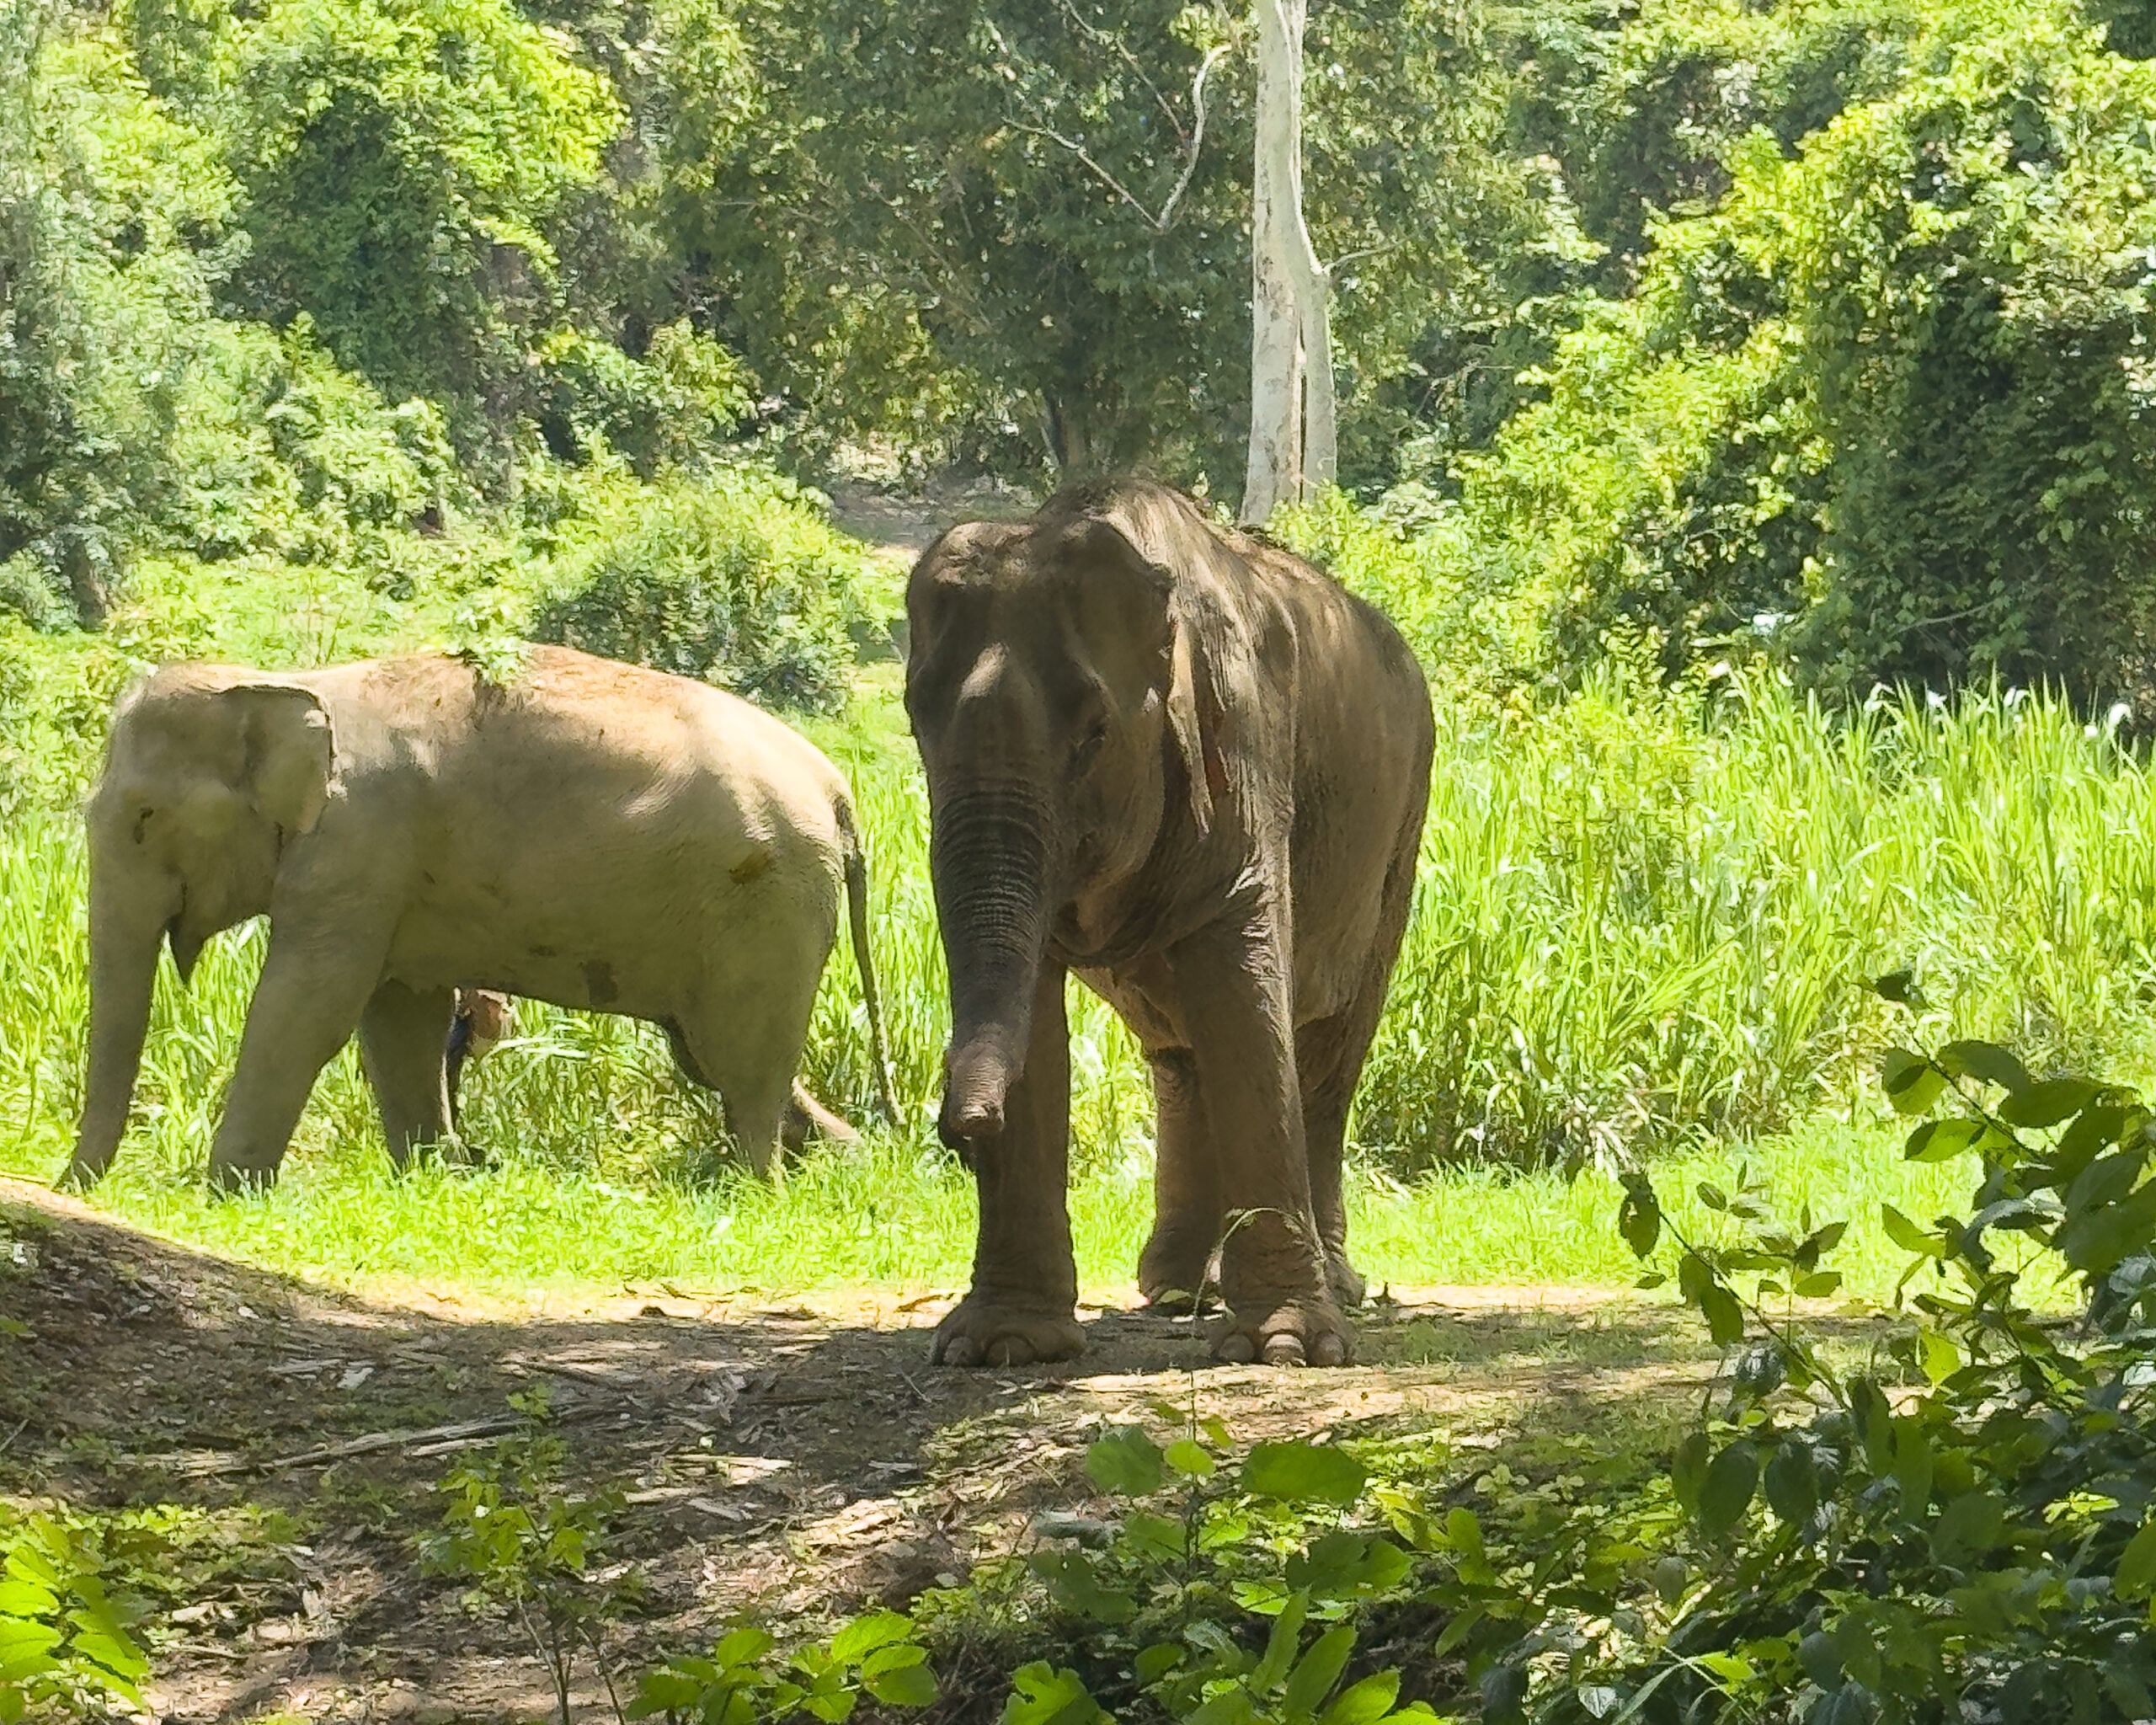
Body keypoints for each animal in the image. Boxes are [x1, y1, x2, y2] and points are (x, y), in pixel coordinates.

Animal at [62, 645, 897, 1192]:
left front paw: (224, 1194)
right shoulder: (388, 879)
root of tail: (838, 791)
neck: (288, 682)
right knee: (709, 1053)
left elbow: (306, 1008)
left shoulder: (360, 846)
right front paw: (432, 1177)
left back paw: (755, 1187)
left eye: (142, 818)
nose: (75, 1185)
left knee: (741, 1059)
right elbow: (397, 1016)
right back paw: (850, 1161)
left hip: (765, 904)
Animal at [906, 478, 1433, 1369]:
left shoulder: (1246, 750)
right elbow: (1036, 1008)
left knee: (1330, 1052)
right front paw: (998, 1346)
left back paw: (1327, 1285)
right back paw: (1182, 1293)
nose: (957, 1130)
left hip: (1401, 832)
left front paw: (1284, 1349)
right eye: (914, 723)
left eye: (1094, 734)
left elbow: (1243, 981)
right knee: (1184, 1055)